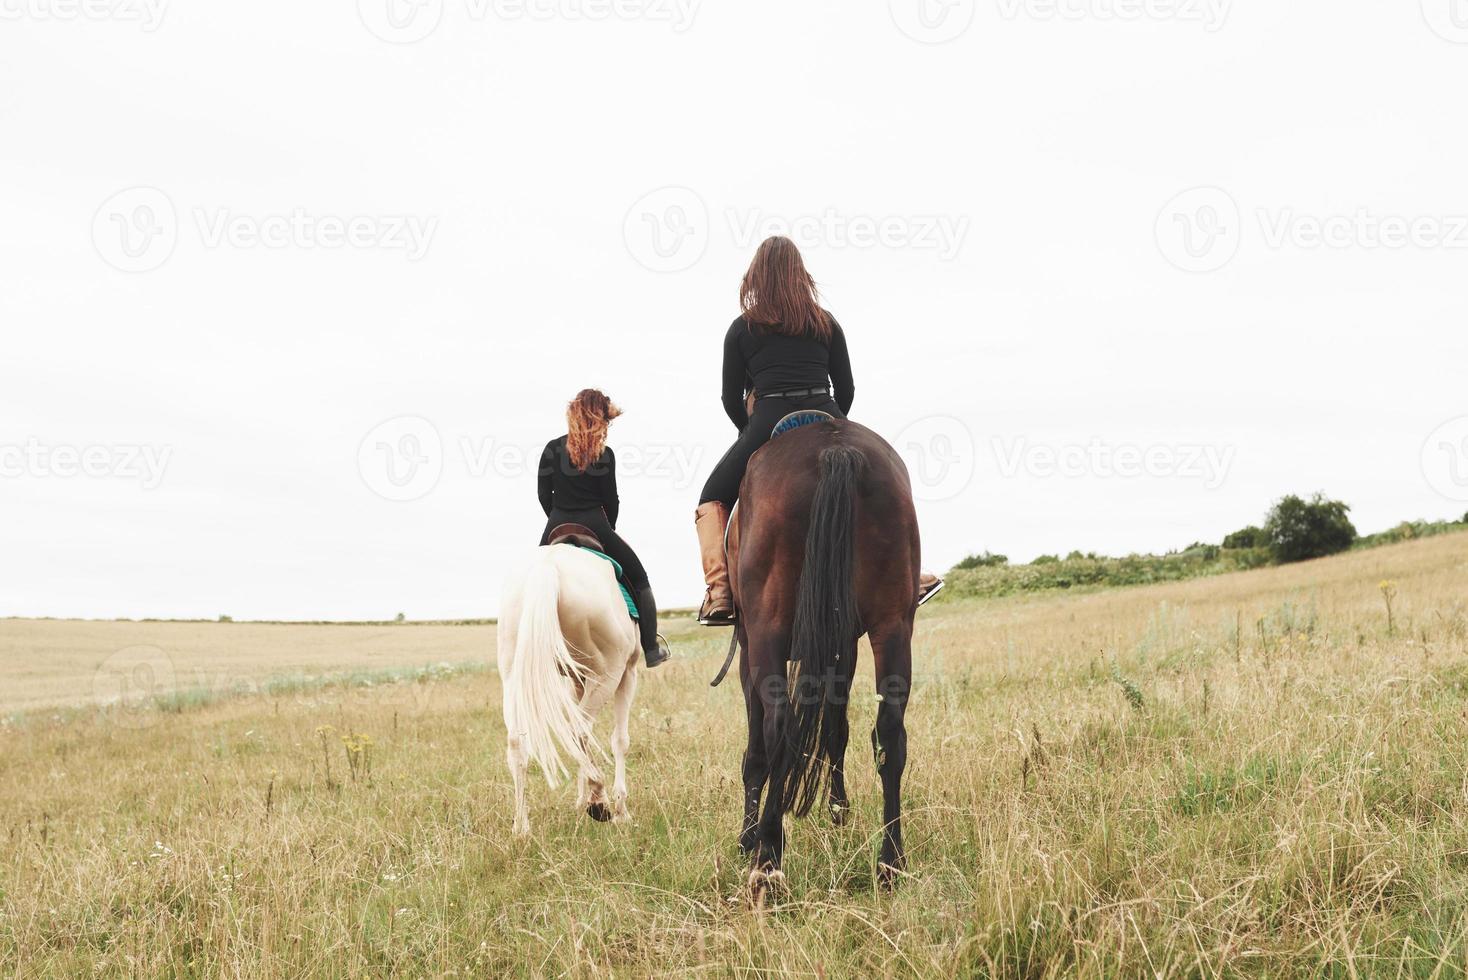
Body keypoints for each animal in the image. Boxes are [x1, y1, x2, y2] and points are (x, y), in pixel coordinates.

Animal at [496, 539, 640, 833]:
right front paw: (620, 810)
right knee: (578, 731)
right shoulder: (628, 674)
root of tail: (548, 565)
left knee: (518, 742)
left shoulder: (577, 682)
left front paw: (580, 800)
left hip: (513, 677)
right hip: (608, 673)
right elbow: (620, 740)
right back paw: (599, 800)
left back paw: (521, 827)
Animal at [725, 416, 916, 891]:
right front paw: (838, 809)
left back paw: (767, 863)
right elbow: (836, 728)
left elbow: (756, 750)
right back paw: (890, 862)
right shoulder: (842, 645)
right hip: (893, 624)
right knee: (890, 732)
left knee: (779, 728)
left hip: (767, 630)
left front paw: (748, 837)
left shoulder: (748, 647)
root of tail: (836, 448)